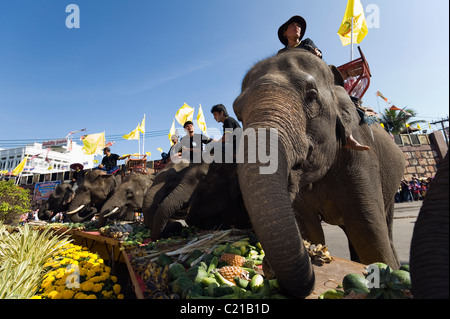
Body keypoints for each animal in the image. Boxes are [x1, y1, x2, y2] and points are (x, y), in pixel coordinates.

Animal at [232, 48, 404, 298]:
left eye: (311, 97)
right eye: (238, 114)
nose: (267, 267)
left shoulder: (361, 158)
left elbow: (369, 236)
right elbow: (310, 230)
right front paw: (313, 248)